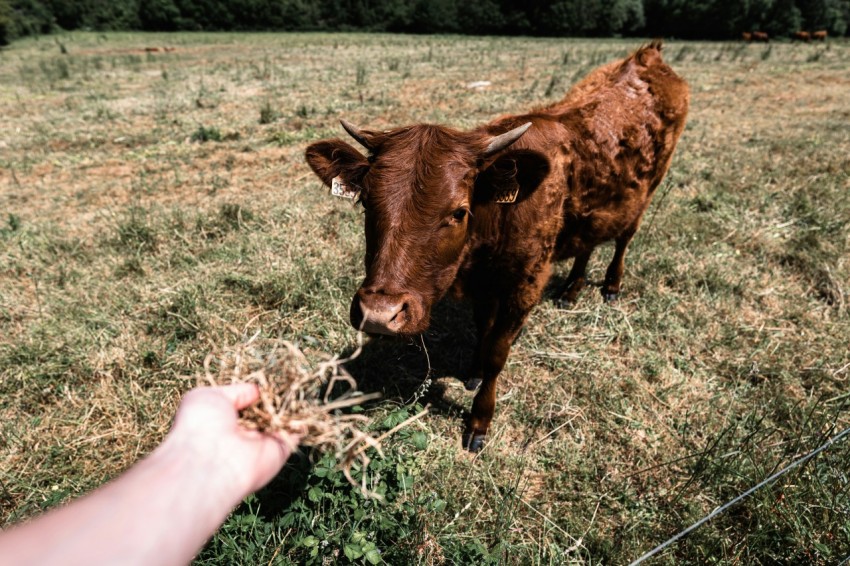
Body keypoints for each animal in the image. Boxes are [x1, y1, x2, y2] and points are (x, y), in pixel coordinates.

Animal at [304, 42, 688, 452]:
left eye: (459, 212)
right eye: (366, 202)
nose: (379, 314)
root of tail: (648, 56)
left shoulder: (525, 287)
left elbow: (497, 354)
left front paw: (479, 419)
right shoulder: (483, 287)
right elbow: (483, 330)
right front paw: (471, 372)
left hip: (648, 191)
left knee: (624, 239)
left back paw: (612, 286)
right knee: (587, 244)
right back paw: (571, 290)